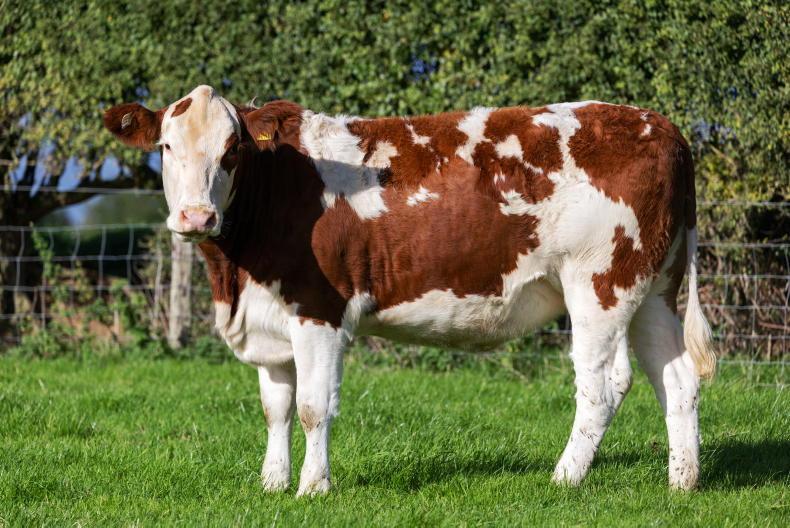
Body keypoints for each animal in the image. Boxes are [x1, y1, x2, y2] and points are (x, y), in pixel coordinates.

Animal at [104, 85, 716, 495]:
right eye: (165, 147)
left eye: (233, 150)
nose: (196, 215)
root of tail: (658, 124)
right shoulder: (268, 317)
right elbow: (275, 407)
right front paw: (272, 484)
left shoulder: (319, 310)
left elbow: (312, 407)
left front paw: (312, 488)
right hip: (655, 287)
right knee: (676, 378)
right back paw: (682, 481)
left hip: (600, 283)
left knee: (603, 385)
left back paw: (564, 477)